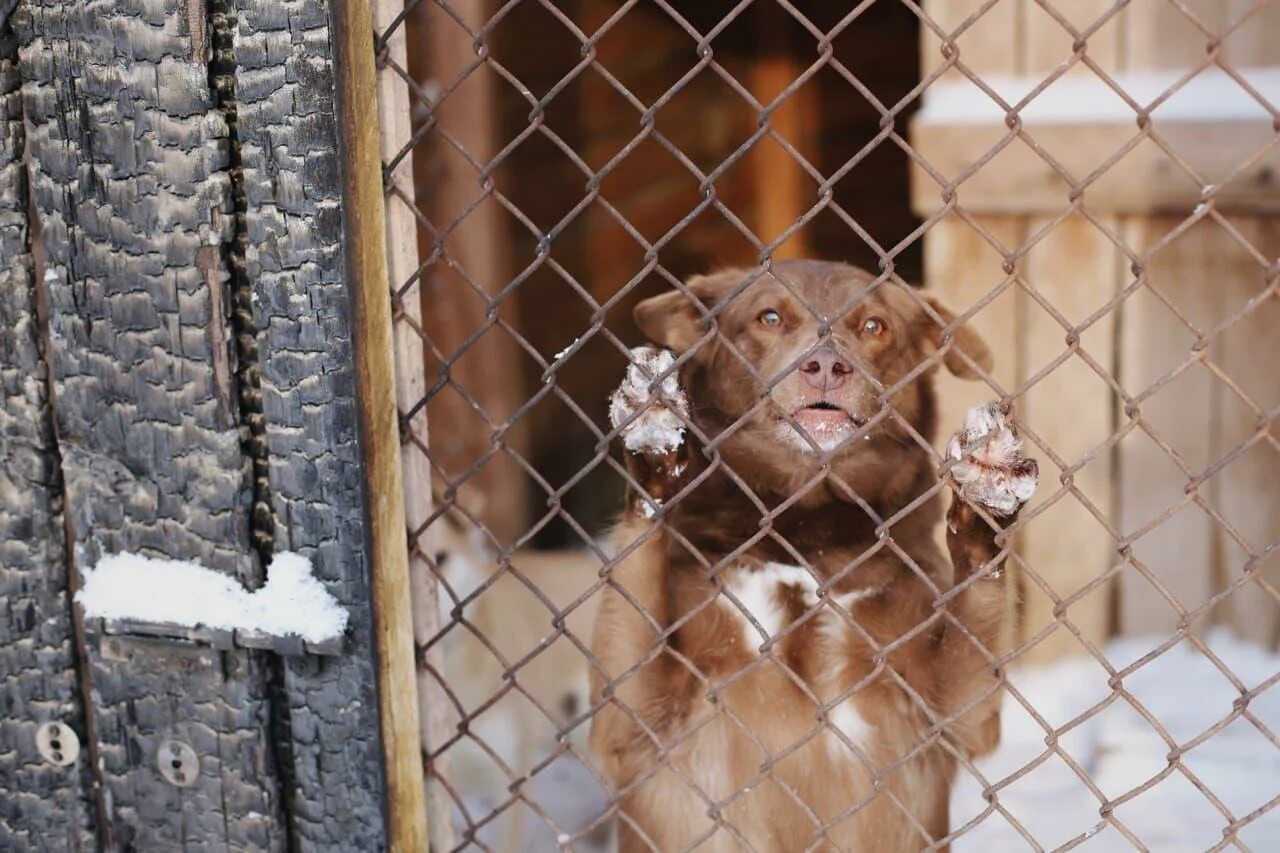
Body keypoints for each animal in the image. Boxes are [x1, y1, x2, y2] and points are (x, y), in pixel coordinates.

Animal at [588, 261, 1039, 850]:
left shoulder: (952, 717)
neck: (806, 533)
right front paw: (654, 433)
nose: (826, 365)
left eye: (873, 326)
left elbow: (975, 618)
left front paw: (985, 501)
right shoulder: (632, 724)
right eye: (769, 317)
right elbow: (637, 569)